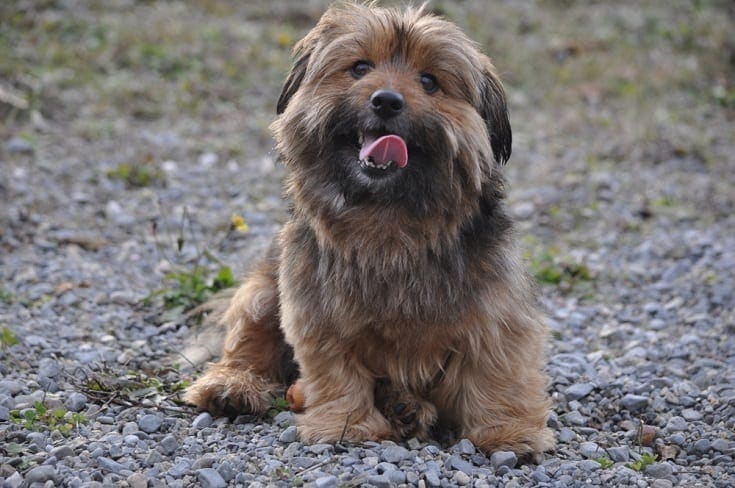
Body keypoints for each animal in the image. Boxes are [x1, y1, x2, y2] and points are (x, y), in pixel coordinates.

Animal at [185, 2, 556, 458]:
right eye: (360, 68)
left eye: (429, 81)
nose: (386, 101)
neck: (387, 218)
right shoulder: (316, 309)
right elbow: (335, 370)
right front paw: (347, 424)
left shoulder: (496, 308)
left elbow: (497, 367)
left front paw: (506, 433)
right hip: (263, 289)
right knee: (246, 340)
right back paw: (232, 386)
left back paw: (406, 406)